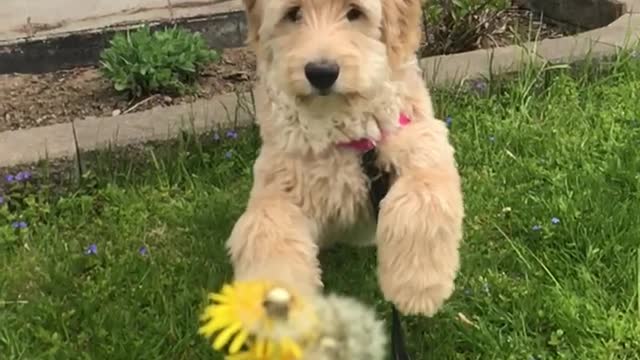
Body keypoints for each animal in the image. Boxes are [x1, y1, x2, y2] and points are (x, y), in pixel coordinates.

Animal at [228, 0, 462, 316]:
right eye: (293, 13)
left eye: (354, 12)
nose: (321, 72)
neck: (342, 130)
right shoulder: (278, 182)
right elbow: (265, 231)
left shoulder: (423, 142)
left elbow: (420, 203)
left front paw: (416, 288)